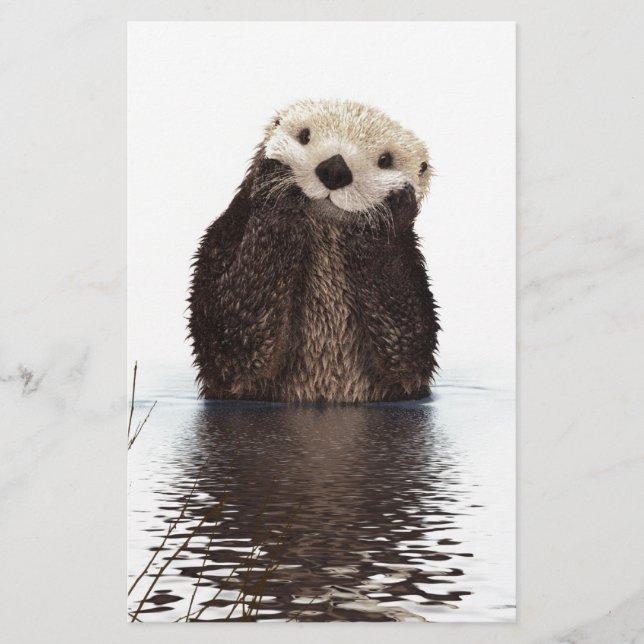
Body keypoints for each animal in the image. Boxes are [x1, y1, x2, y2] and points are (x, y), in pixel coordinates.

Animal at [188, 99, 439, 403]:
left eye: (385, 160)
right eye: (304, 136)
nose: (335, 169)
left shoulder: (412, 275)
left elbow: (408, 346)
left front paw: (387, 213)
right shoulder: (223, 240)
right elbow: (232, 335)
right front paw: (276, 185)